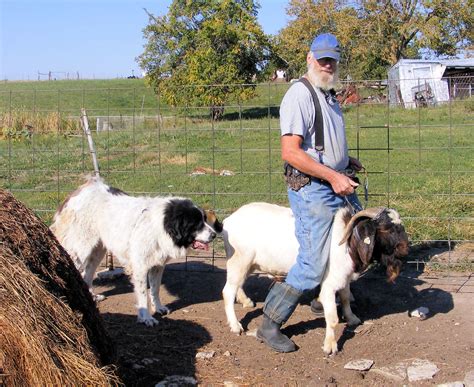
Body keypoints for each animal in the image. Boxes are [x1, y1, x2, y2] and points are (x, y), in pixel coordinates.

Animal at [51, 177, 222, 326]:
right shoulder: (140, 266)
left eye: (204, 219)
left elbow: (155, 289)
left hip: (97, 250)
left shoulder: (158, 265)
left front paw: (158, 308)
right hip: (81, 249)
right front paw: (146, 317)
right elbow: (143, 294)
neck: (161, 226)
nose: (214, 234)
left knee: (87, 274)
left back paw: (91, 297)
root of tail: (81, 190)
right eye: (197, 224)